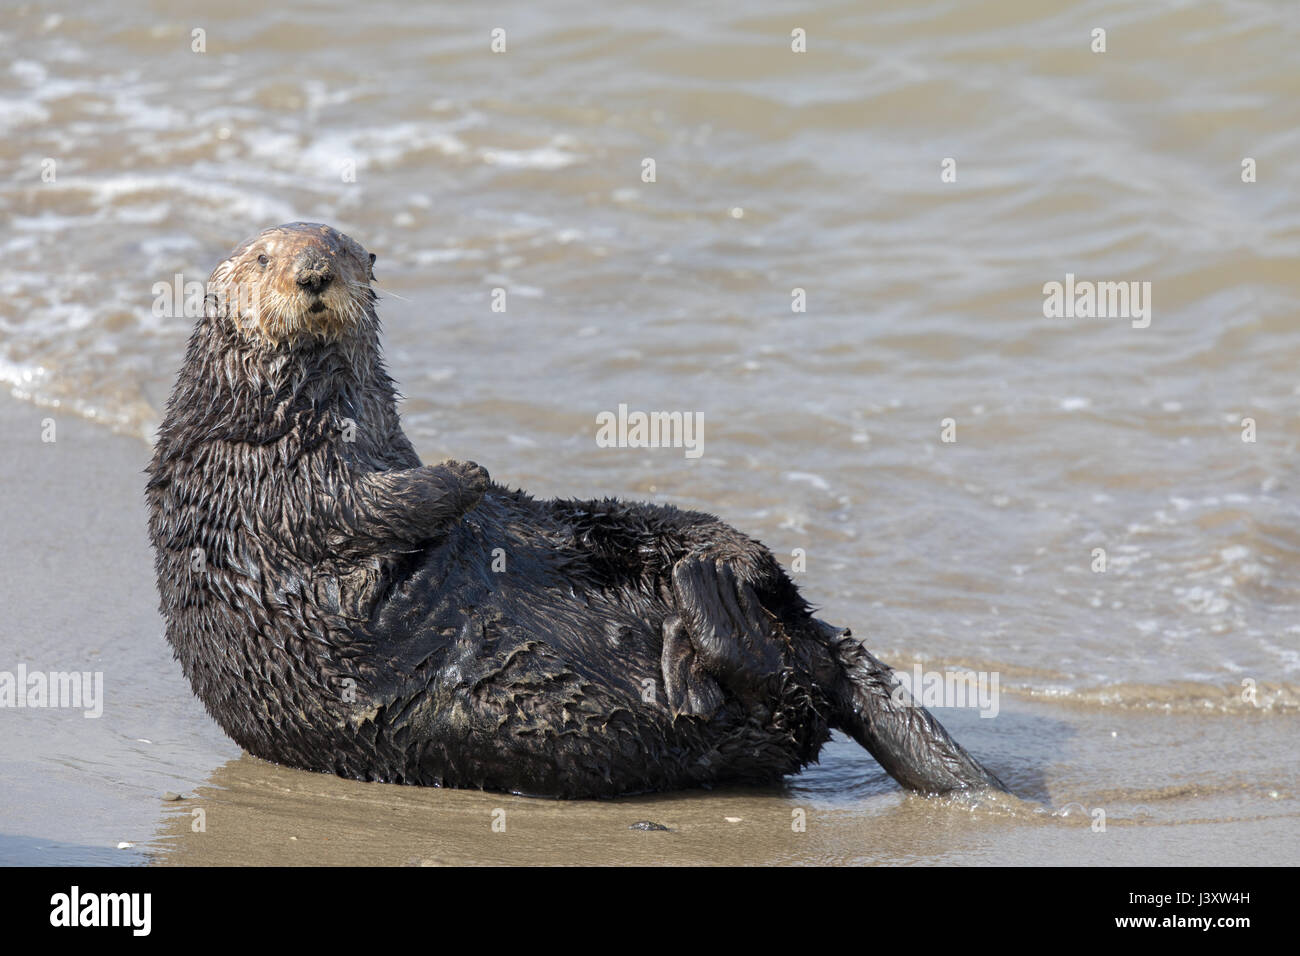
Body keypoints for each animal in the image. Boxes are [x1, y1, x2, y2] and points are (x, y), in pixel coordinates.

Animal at [146, 222, 1007, 798]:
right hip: (726, 712)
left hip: (638, 526)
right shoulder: (280, 476)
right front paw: (467, 470)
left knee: (758, 610)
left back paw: (708, 587)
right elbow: (360, 508)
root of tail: (810, 636)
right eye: (265, 257)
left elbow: (386, 495)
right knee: (766, 693)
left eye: (344, 247)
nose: (314, 273)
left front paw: (470, 472)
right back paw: (704, 618)